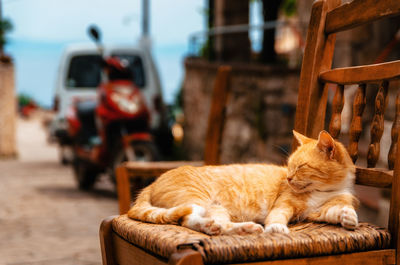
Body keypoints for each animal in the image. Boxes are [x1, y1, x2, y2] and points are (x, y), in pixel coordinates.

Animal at [129, 129, 360, 234]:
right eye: (289, 166)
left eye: (301, 167)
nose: (288, 178)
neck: (324, 190)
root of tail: (151, 183)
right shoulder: (283, 205)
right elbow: (277, 217)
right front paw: (276, 228)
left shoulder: (318, 212)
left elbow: (335, 211)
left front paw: (348, 216)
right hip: (197, 199)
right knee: (187, 219)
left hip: (216, 209)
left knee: (218, 225)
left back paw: (242, 229)